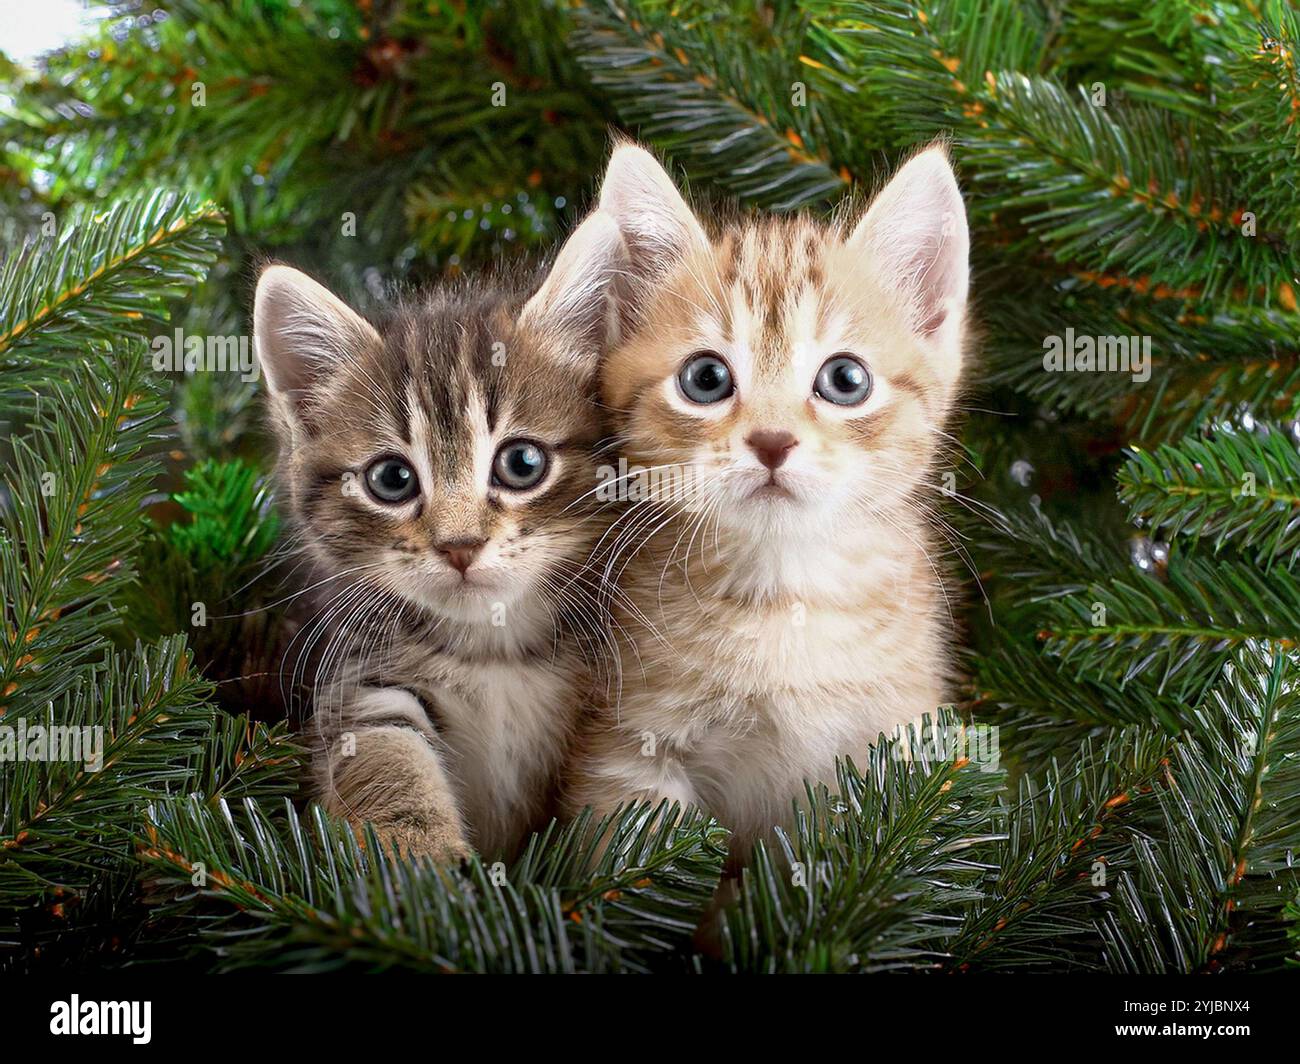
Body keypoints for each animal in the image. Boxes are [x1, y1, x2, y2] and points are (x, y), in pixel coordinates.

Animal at [254, 209, 629, 863]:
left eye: (522, 463)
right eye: (391, 479)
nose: (460, 546)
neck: (492, 651)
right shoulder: (366, 686)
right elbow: (386, 763)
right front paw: (420, 864)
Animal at [564, 143, 972, 853]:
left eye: (845, 379)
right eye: (705, 378)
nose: (773, 442)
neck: (784, 599)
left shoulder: (893, 737)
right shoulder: (625, 750)